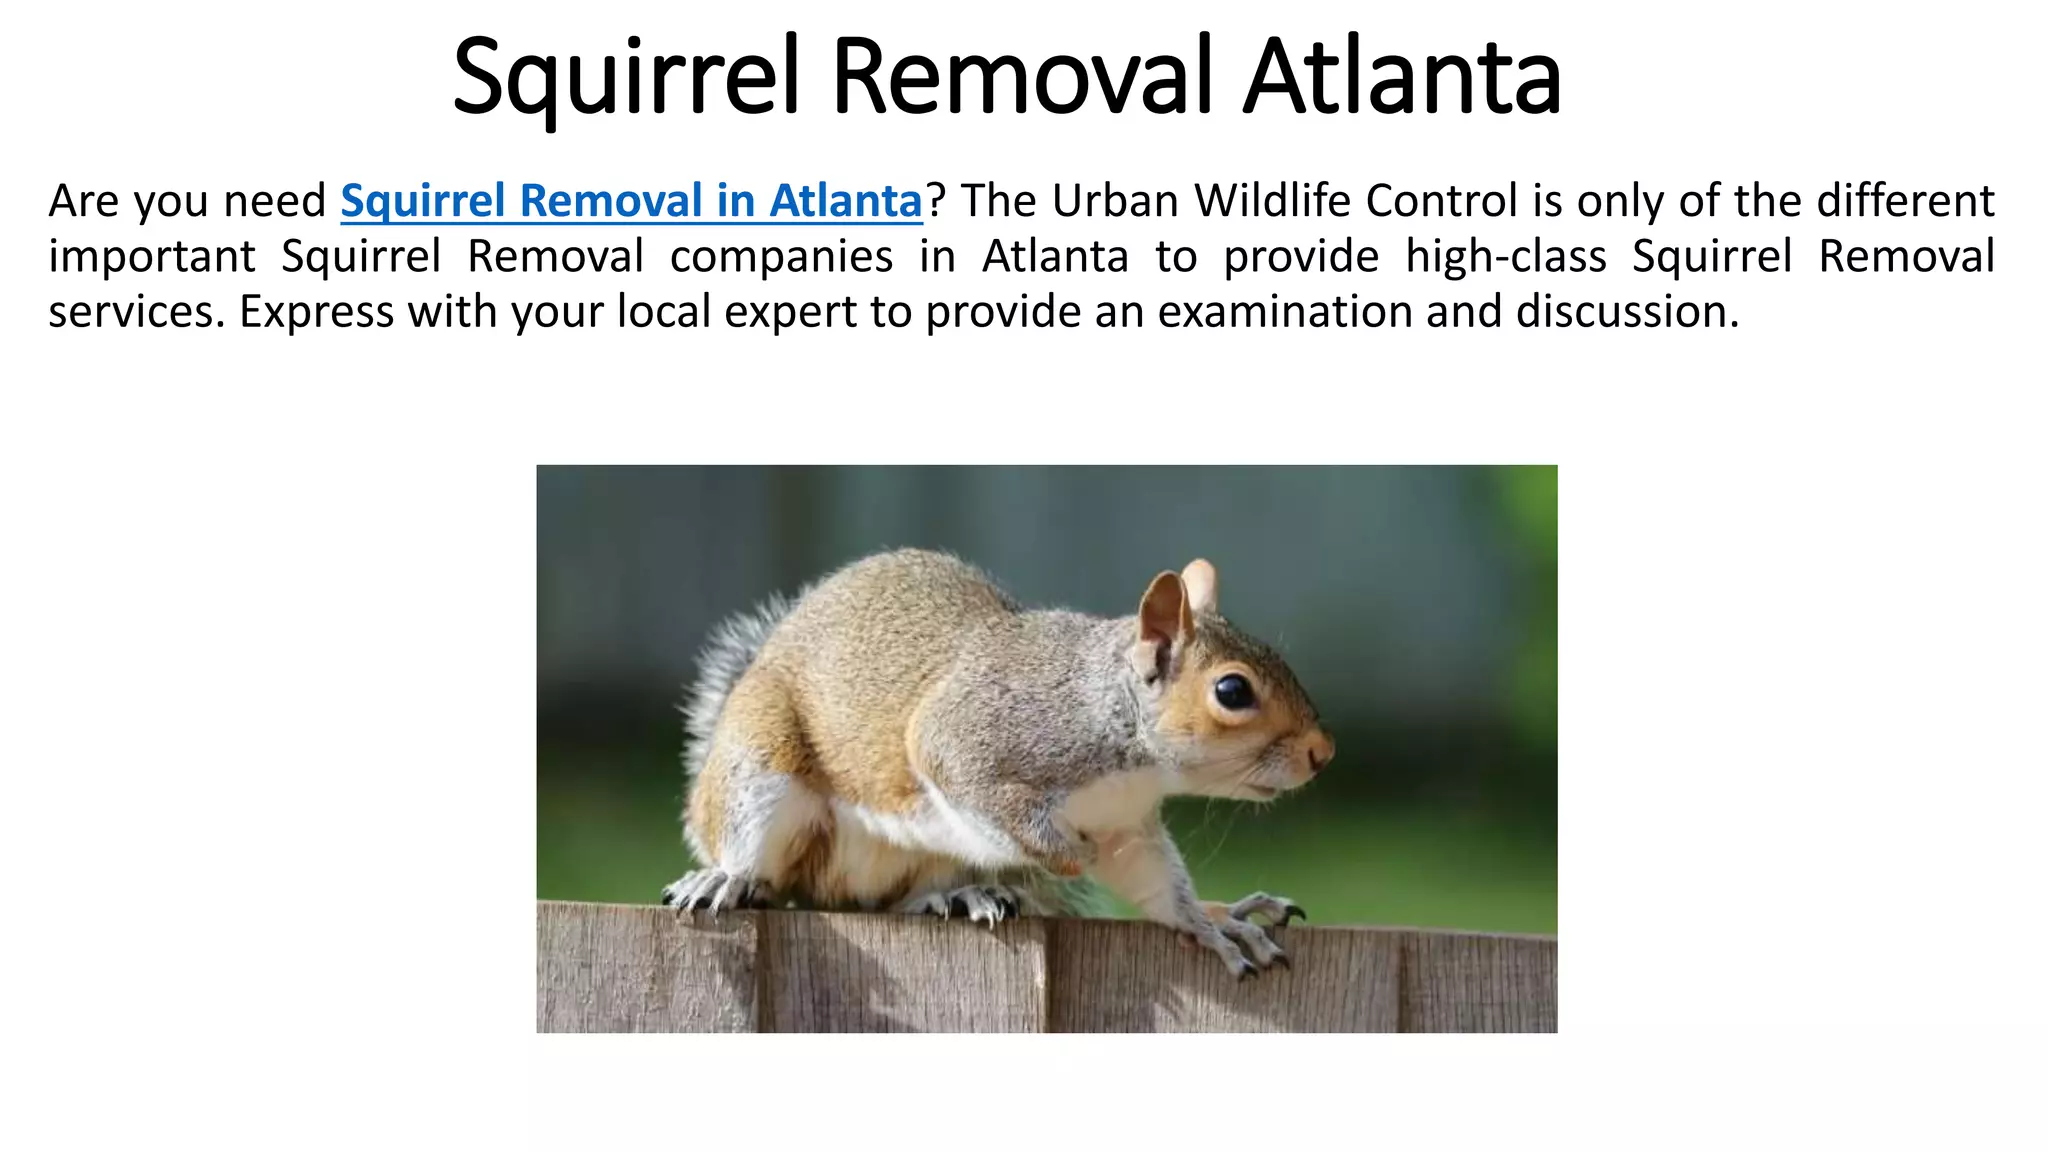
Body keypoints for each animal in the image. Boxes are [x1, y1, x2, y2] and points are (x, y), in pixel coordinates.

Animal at [660, 548, 1335, 977]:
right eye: (1232, 691)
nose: (1321, 753)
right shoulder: (969, 738)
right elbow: (981, 792)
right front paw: (1064, 854)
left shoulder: (1125, 826)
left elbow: (1155, 884)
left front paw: (1212, 924)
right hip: (759, 768)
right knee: (765, 866)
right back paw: (727, 878)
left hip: (922, 863)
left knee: (885, 904)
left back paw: (956, 897)